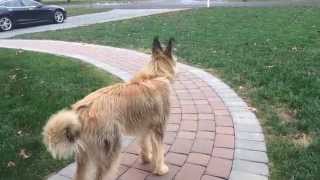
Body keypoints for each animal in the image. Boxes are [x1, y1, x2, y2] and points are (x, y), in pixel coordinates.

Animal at [41, 37, 176, 179]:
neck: (155, 75)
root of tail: (82, 112)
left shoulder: (145, 127)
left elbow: (145, 144)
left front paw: (146, 159)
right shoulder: (158, 128)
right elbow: (159, 151)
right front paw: (160, 169)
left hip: (84, 155)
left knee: (80, 175)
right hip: (110, 150)